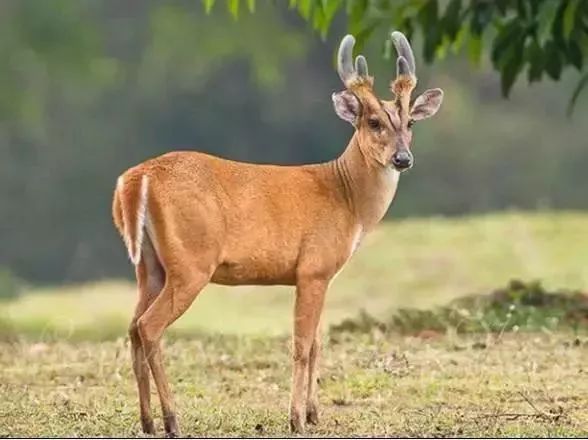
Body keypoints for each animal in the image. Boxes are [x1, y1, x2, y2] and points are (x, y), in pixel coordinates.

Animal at [111, 31, 440, 436]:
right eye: (374, 122)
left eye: (410, 123)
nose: (402, 158)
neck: (345, 194)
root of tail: (137, 178)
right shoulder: (312, 268)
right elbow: (301, 345)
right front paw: (296, 418)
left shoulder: (323, 276)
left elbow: (316, 343)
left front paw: (314, 413)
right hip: (191, 263)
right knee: (149, 326)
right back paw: (172, 420)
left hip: (150, 266)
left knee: (132, 327)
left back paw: (147, 422)